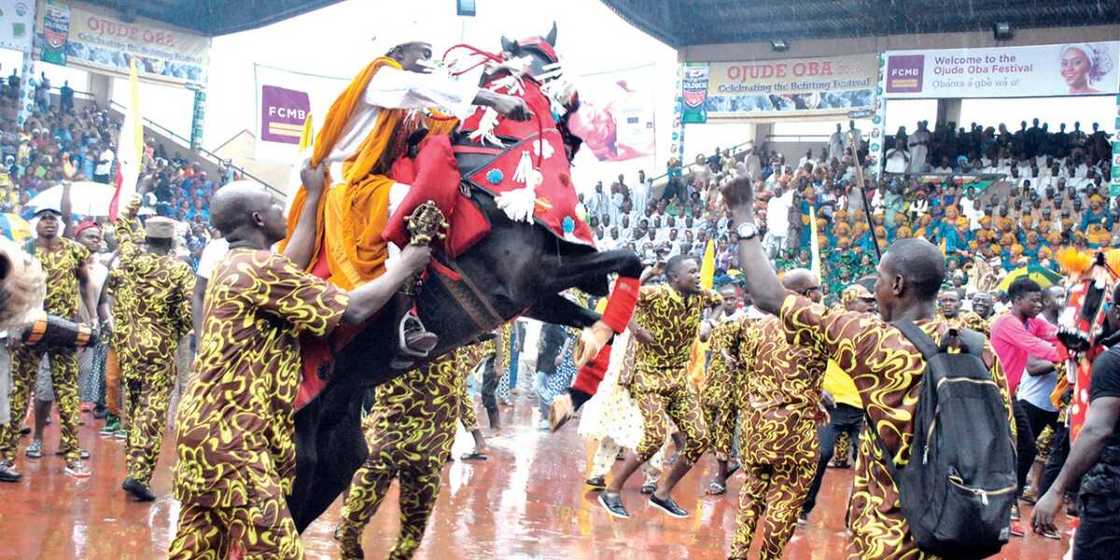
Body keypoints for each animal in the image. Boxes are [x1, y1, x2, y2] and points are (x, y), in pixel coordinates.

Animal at [284, 22, 645, 528]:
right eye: (554, 67)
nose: (580, 112)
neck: (493, 166)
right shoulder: (530, 278)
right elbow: (630, 259)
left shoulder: (531, 298)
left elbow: (604, 320)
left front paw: (570, 393)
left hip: (335, 443)